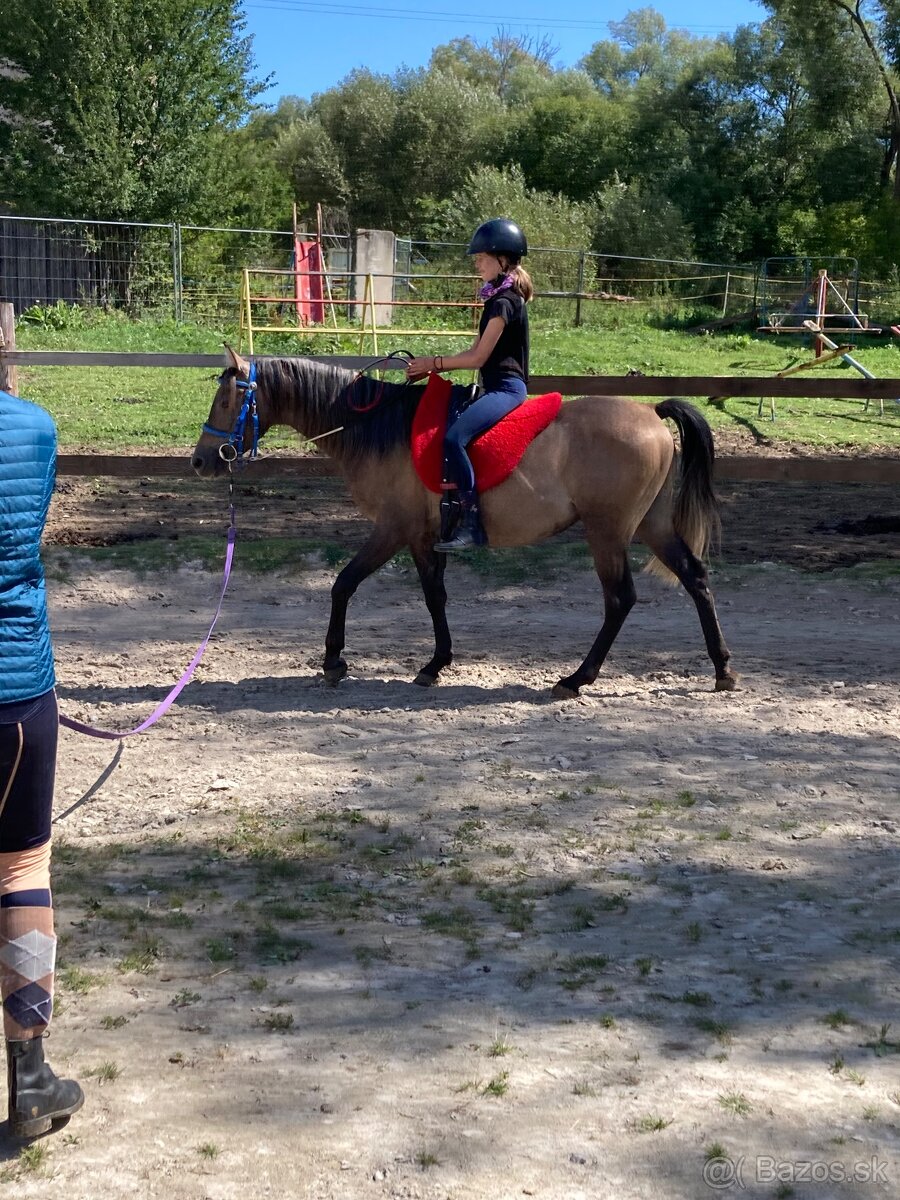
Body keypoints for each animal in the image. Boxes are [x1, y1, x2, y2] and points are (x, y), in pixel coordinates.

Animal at [192, 348, 737, 697]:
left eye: (226, 401)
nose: (201, 462)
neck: (379, 428)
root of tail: (651, 413)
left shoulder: (394, 529)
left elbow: (344, 584)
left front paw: (334, 662)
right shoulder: (424, 537)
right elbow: (435, 596)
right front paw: (436, 663)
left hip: (607, 531)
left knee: (620, 599)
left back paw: (577, 678)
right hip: (652, 526)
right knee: (696, 579)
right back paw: (722, 669)